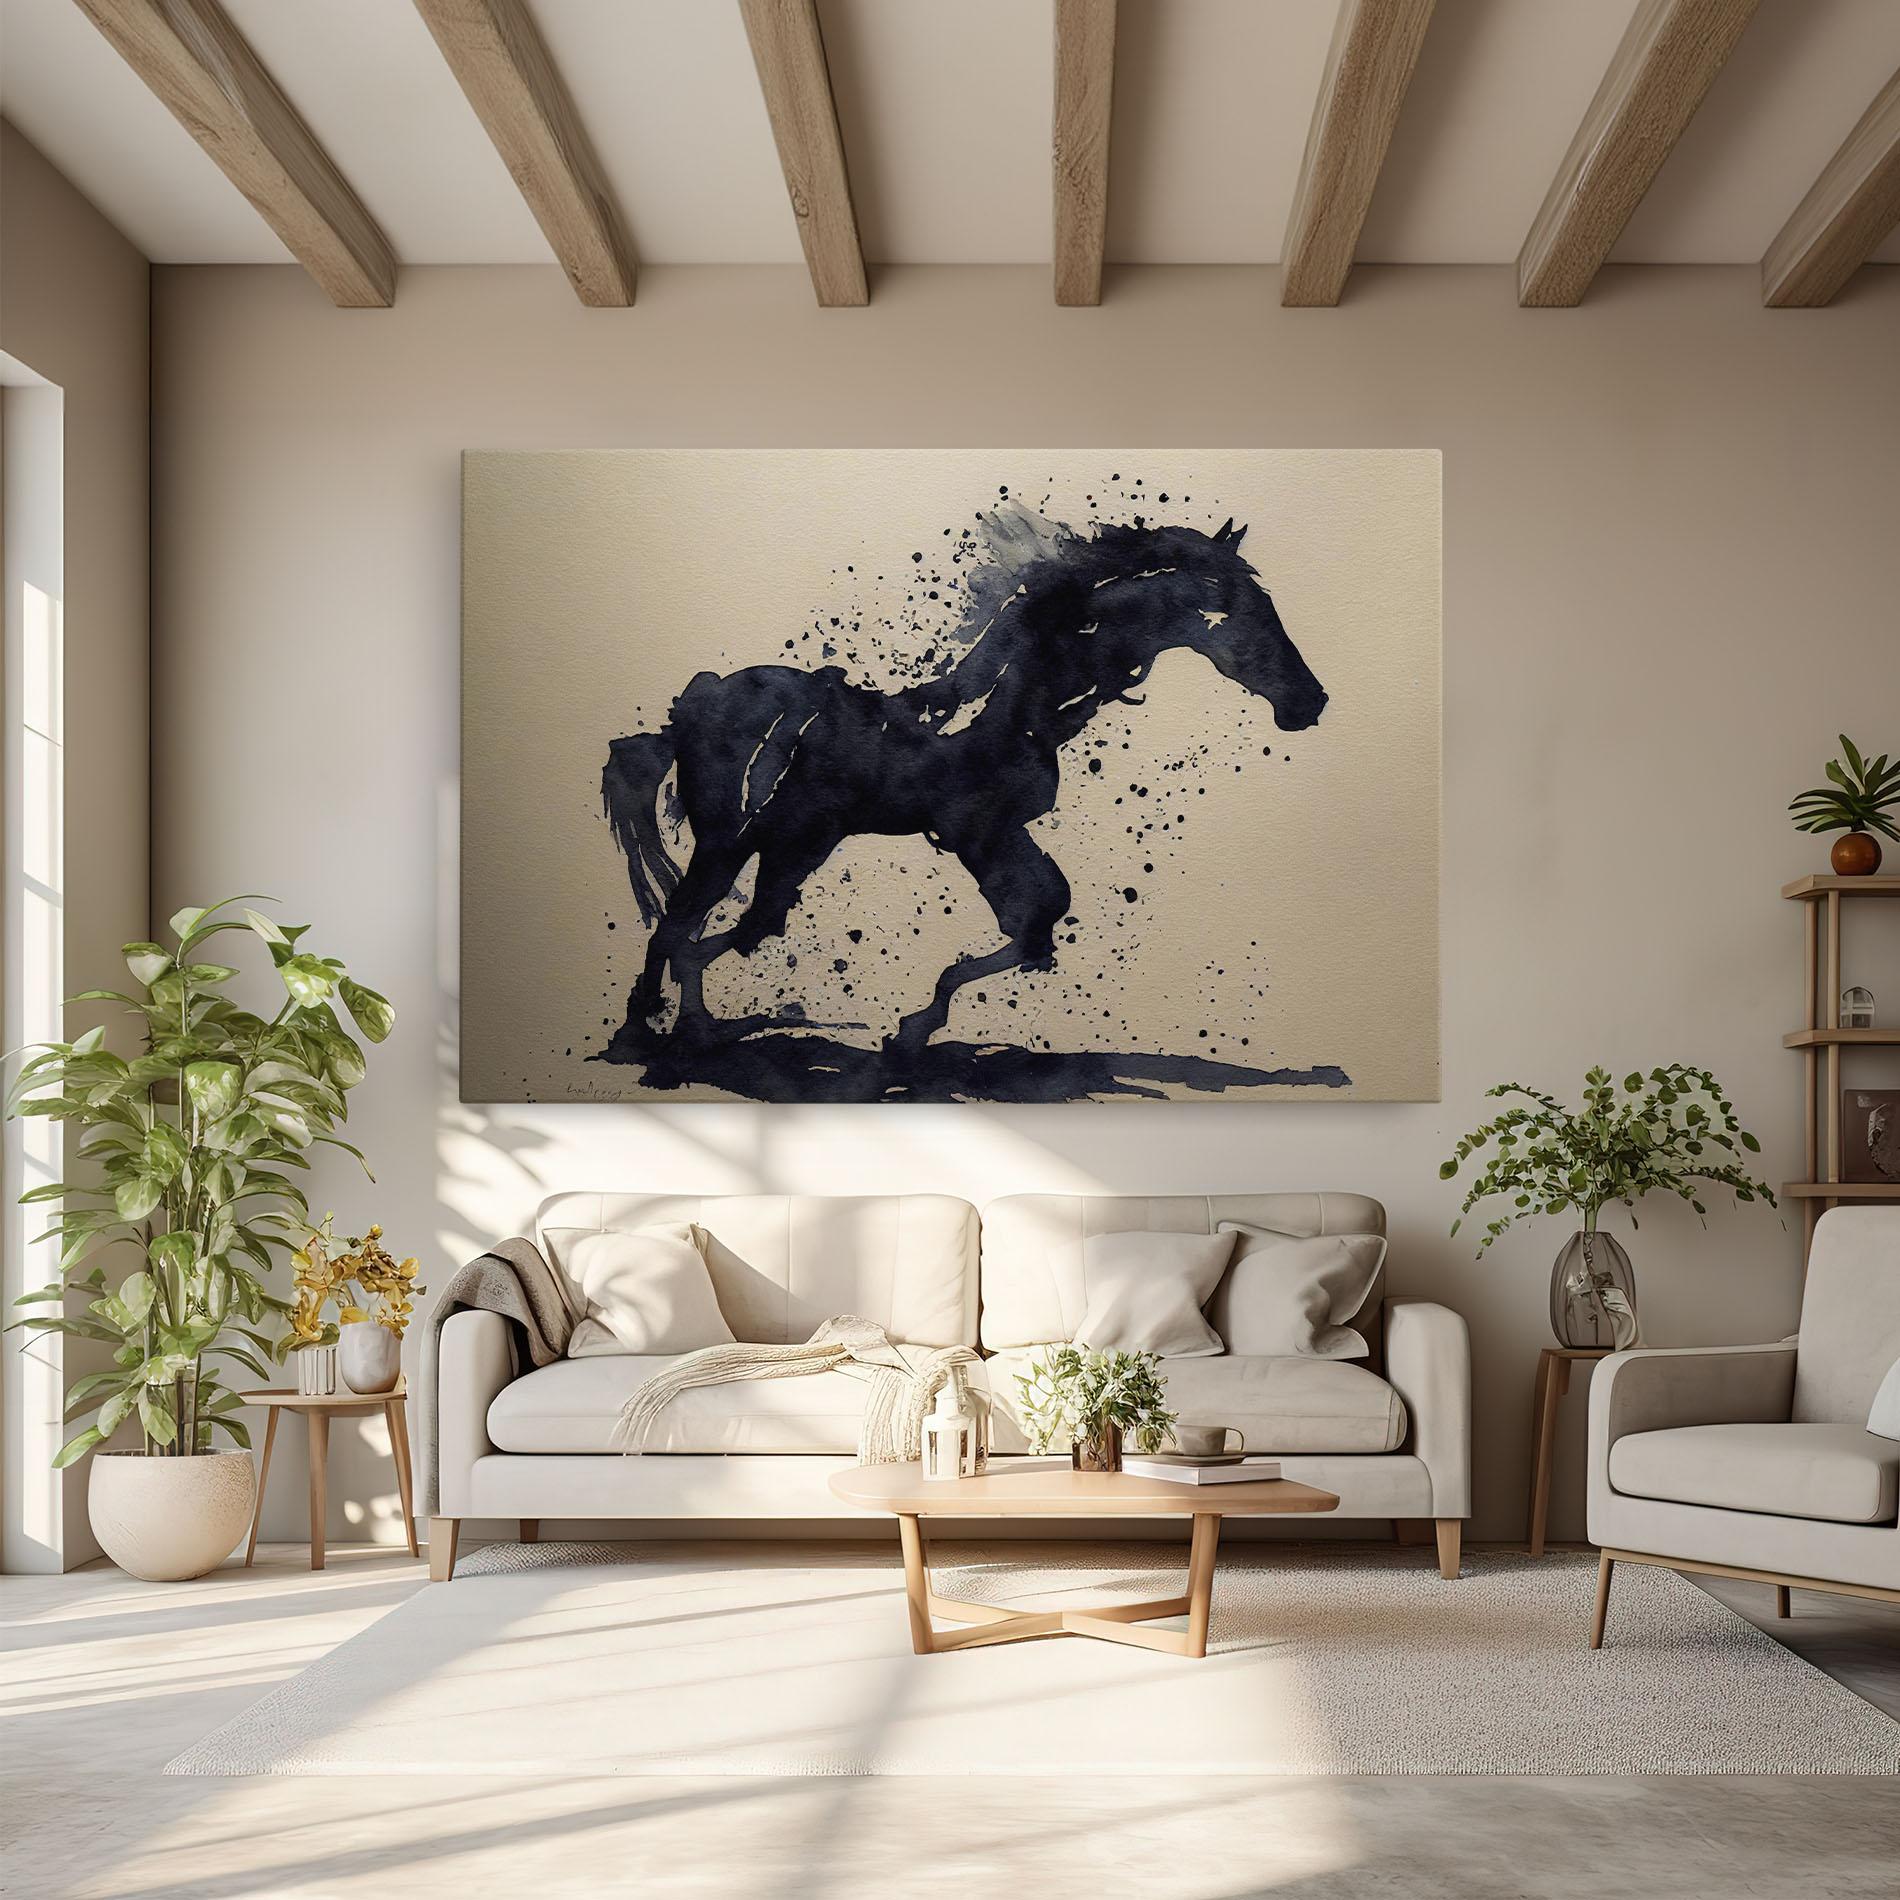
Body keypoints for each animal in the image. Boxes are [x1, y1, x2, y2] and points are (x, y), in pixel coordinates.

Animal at [601, 507, 1328, 1056]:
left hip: (779, 843)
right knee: (688, 928)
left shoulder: (1003, 834)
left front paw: (915, 1027)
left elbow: (1040, 920)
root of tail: (693, 706)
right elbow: (1030, 919)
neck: (1022, 700)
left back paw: (693, 1026)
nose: (1310, 702)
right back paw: (656, 1030)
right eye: (1247, 613)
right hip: (738, 842)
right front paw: (910, 1029)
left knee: (716, 925)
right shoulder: (974, 833)